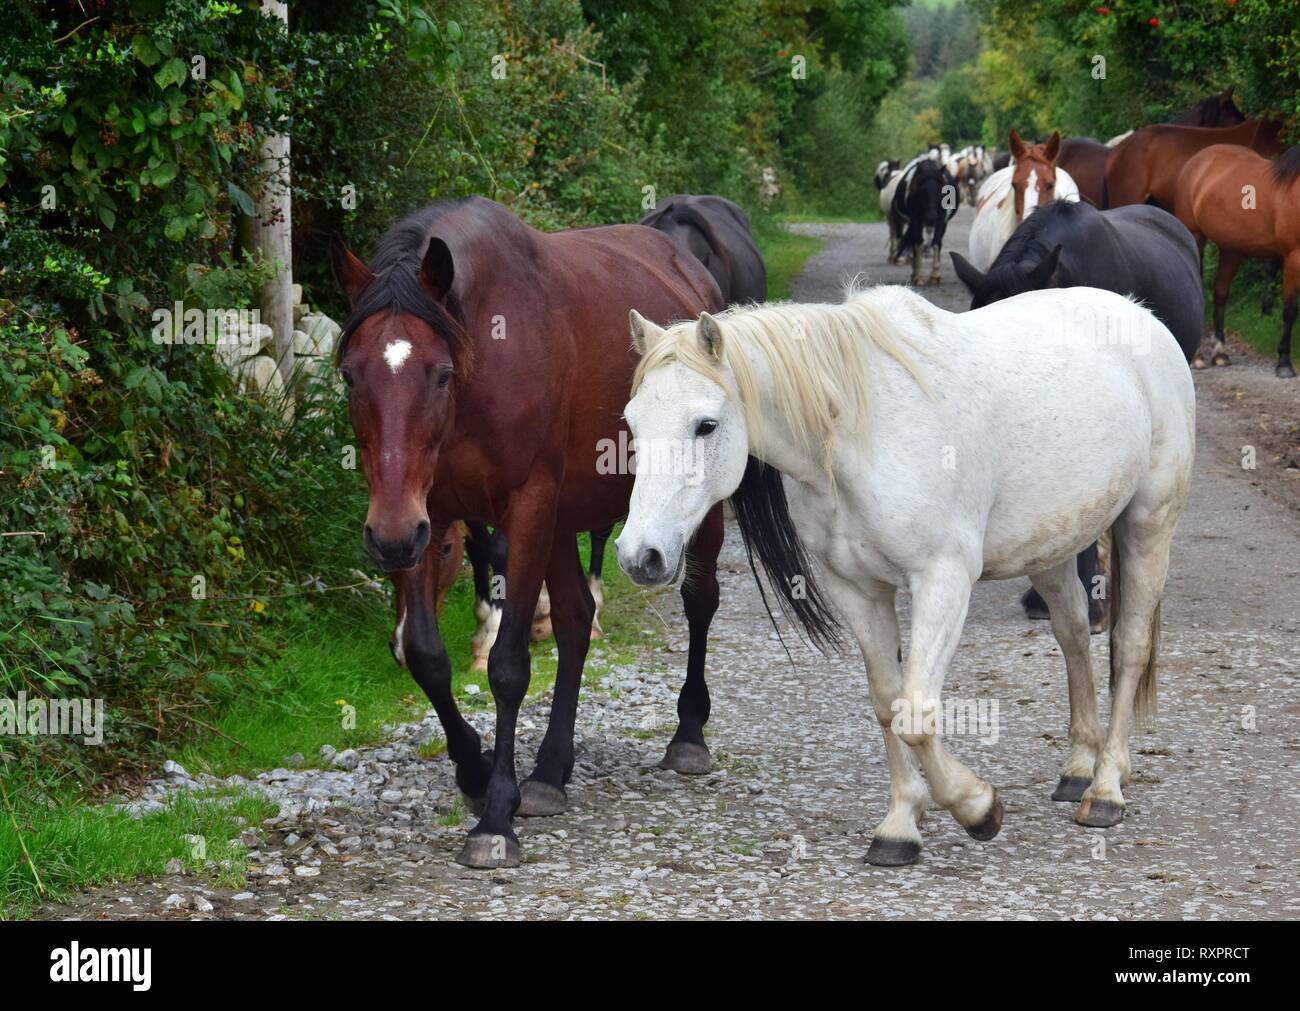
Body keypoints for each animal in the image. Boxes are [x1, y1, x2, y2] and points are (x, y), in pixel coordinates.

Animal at [332, 196, 726, 869]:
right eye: (352, 376)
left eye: (440, 374)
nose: (388, 539)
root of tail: (691, 271)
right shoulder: (425, 513)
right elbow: (427, 657)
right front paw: (476, 769)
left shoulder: (525, 510)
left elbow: (508, 666)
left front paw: (495, 818)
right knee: (574, 621)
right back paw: (548, 772)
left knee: (699, 603)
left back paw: (687, 735)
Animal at [617, 285, 1194, 865]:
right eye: (633, 424)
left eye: (705, 425)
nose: (640, 555)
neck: (860, 430)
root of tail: (1138, 313)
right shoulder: (858, 590)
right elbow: (886, 701)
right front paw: (901, 826)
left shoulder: (942, 580)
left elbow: (916, 711)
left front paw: (977, 807)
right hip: (1050, 547)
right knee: (1074, 634)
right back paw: (1078, 770)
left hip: (1149, 525)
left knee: (1130, 645)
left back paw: (1106, 789)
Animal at [890, 157, 959, 285]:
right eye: (922, 191)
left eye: (943, 191)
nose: (931, 218)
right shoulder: (915, 219)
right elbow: (918, 242)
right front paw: (918, 275)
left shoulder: (942, 219)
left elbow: (937, 242)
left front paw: (935, 275)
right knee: (914, 241)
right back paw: (914, 272)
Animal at [1175, 144, 1300, 377]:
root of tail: (1197, 160)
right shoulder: (1293, 257)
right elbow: (1290, 310)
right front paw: (1284, 363)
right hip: (1195, 236)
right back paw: (1197, 357)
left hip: (1231, 250)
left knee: (1221, 293)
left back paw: (1220, 353)